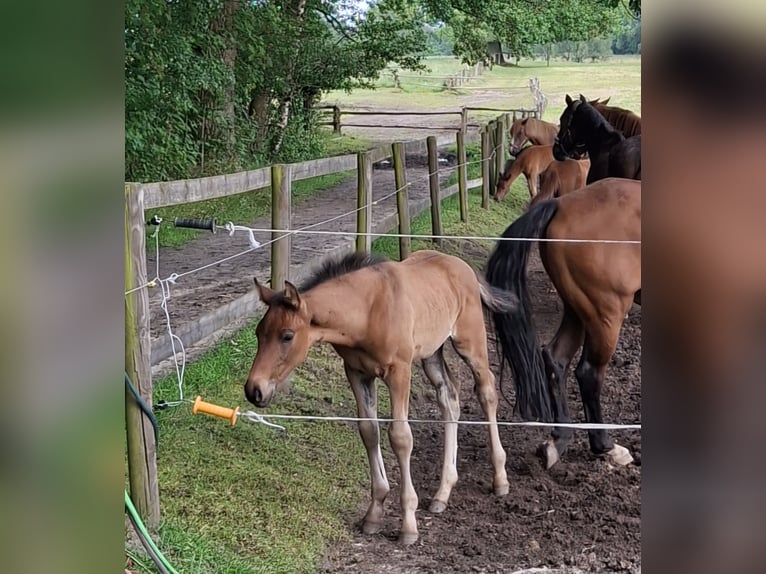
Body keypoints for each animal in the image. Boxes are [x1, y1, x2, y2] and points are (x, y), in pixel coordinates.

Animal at [244, 251, 516, 544]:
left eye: (287, 336)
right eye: (258, 332)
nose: (254, 389)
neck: (366, 312)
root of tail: (462, 265)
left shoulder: (399, 372)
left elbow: (400, 437)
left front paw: (408, 524)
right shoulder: (356, 372)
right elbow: (369, 431)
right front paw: (374, 514)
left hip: (470, 342)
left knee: (486, 391)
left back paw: (500, 479)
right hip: (432, 352)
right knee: (450, 399)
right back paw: (442, 493)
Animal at [486, 179, 640, 468]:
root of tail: (560, 203)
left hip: (578, 310)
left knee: (556, 358)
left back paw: (559, 439)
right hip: (605, 315)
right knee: (589, 373)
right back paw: (606, 446)